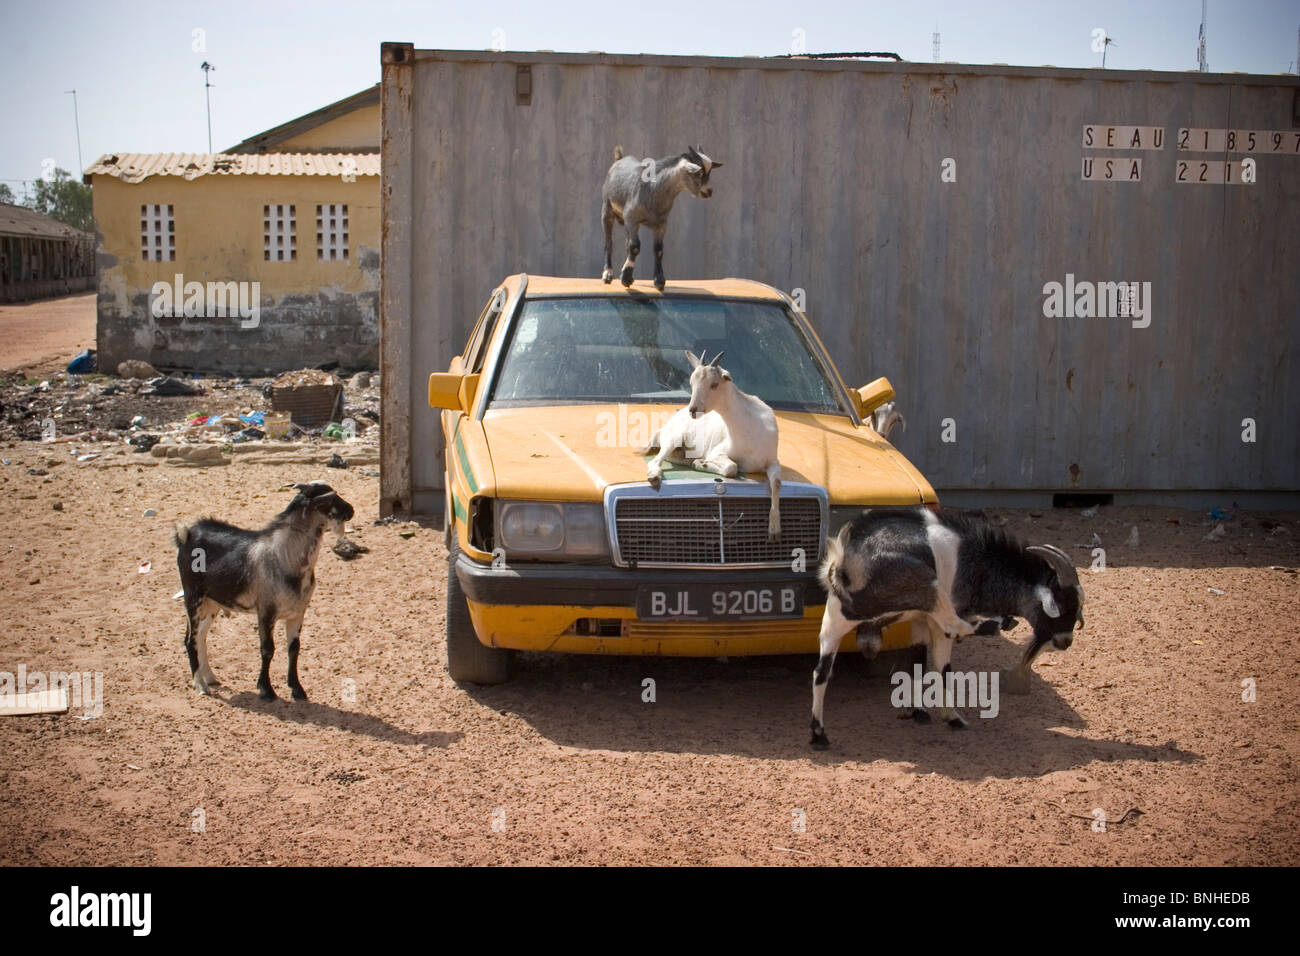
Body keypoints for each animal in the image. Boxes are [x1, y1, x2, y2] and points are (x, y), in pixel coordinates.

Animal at [175, 481, 356, 697]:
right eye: (329, 499)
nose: (351, 510)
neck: (284, 556)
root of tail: (187, 533)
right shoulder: (266, 612)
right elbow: (268, 649)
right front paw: (266, 689)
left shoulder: (297, 612)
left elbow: (294, 648)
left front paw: (297, 688)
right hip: (193, 597)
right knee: (189, 640)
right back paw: (201, 685)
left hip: (212, 602)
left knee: (201, 636)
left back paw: (210, 678)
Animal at [598, 143, 722, 290]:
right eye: (699, 173)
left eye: (709, 172)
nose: (709, 191)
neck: (654, 189)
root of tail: (619, 159)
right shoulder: (631, 217)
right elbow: (635, 246)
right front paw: (626, 278)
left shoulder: (661, 224)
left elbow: (658, 250)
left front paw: (659, 281)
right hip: (607, 210)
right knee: (609, 242)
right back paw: (608, 274)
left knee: (626, 244)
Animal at [639, 351, 780, 541]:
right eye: (692, 382)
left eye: (714, 384)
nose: (693, 410)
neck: (750, 428)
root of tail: (665, 426)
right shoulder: (717, 452)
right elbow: (732, 468)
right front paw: (704, 464)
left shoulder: (772, 461)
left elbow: (777, 482)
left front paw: (774, 529)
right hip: (672, 439)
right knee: (657, 460)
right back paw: (656, 476)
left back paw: (694, 462)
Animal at [806, 504, 1081, 749]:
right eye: (1063, 606)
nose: (1066, 641)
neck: (979, 561)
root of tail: (843, 562)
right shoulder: (936, 619)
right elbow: (944, 666)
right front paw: (952, 718)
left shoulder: (918, 621)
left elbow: (916, 662)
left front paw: (917, 711)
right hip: (928, 585)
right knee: (954, 626)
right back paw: (996, 624)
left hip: (833, 619)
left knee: (821, 672)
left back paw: (818, 734)